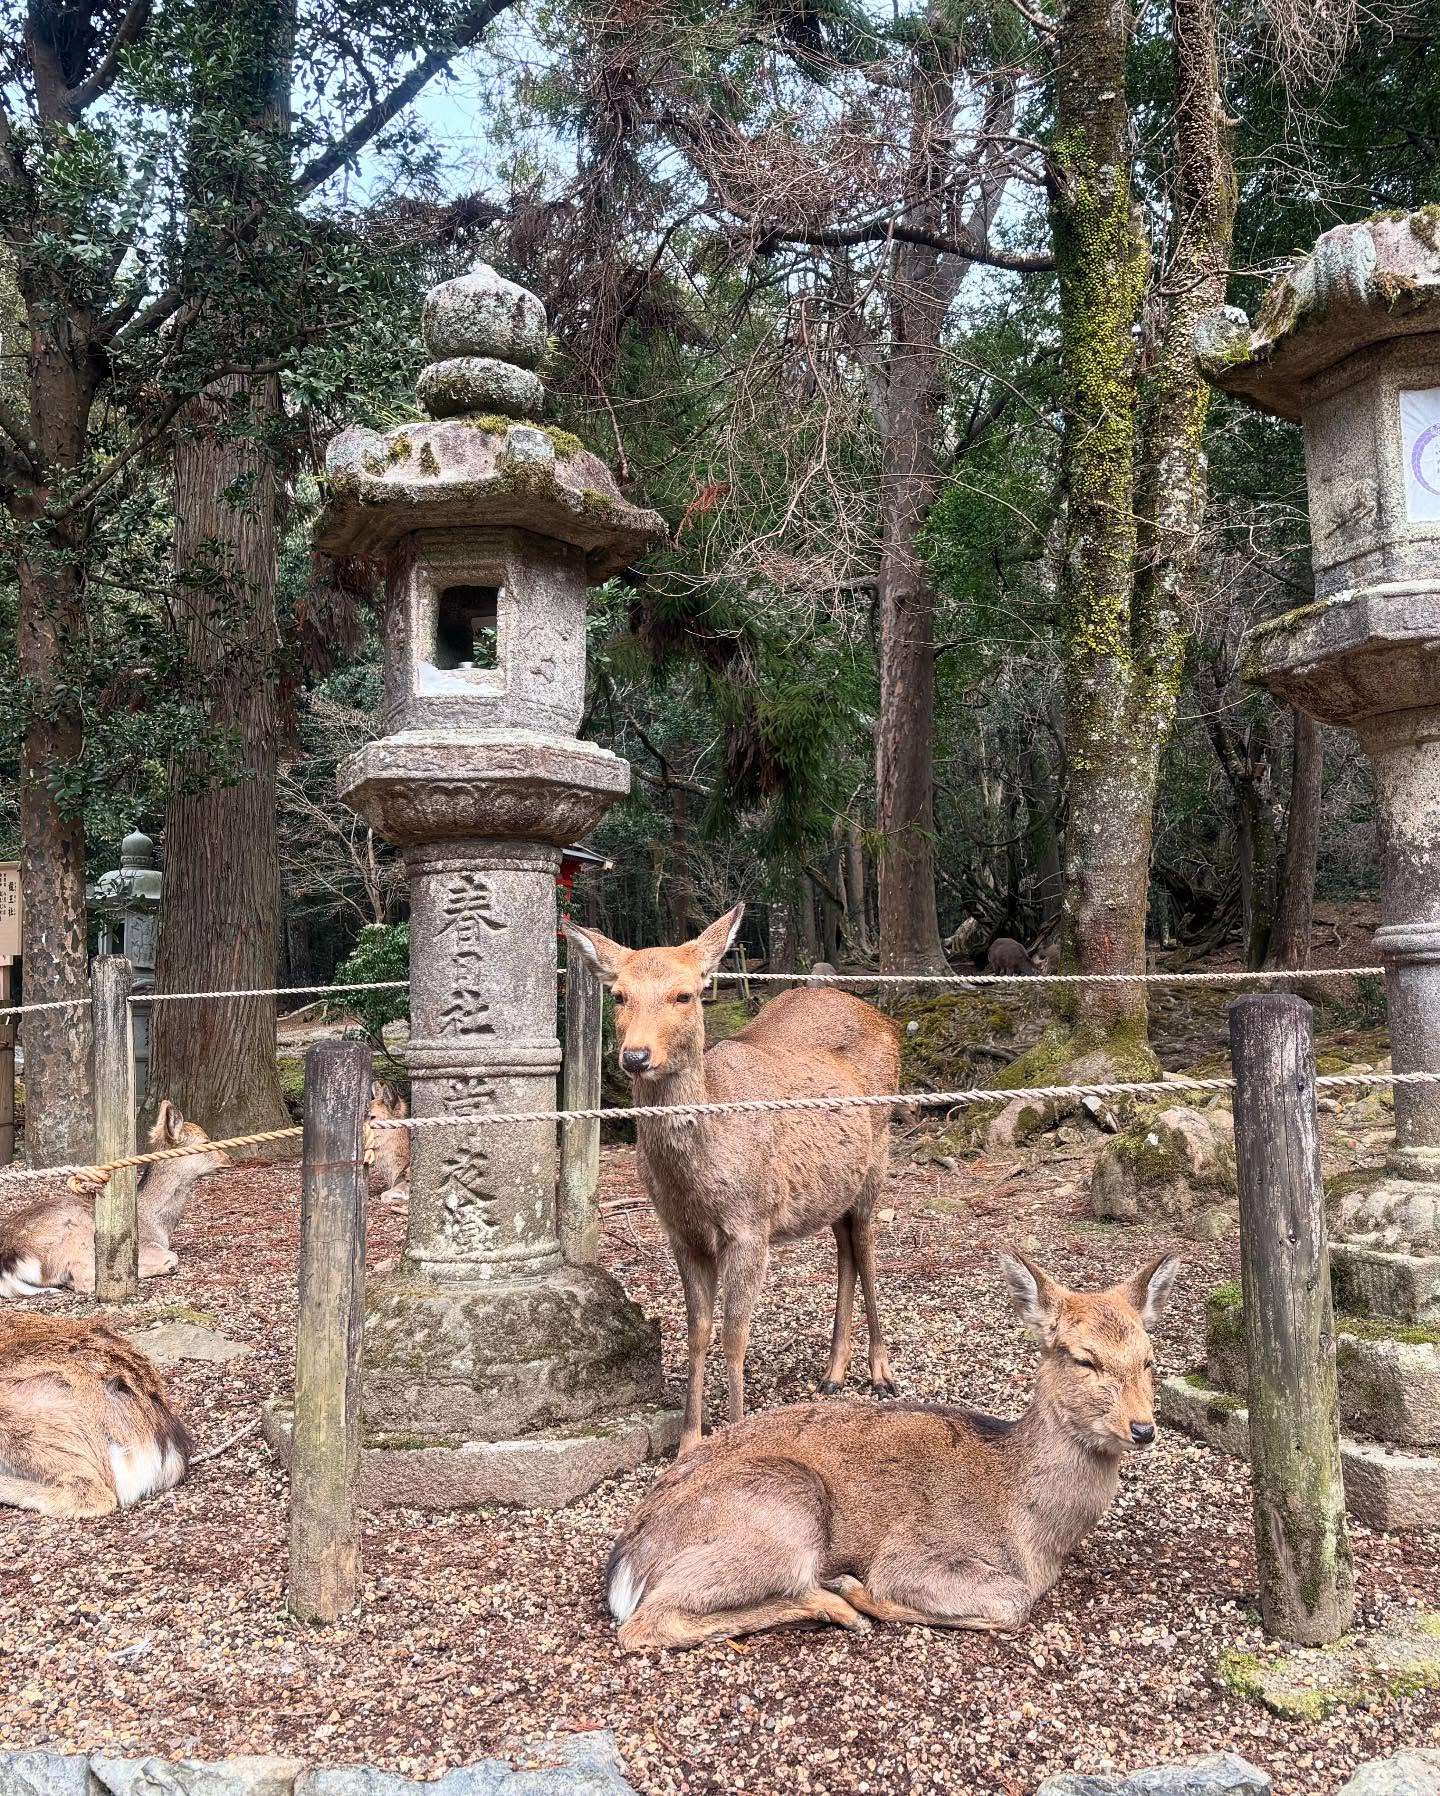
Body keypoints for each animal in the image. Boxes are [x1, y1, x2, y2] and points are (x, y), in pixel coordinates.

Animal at [0, 1099, 227, 1300]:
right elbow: (173, 1256)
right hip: (76, 1237)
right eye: (206, 1142)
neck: (159, 1226)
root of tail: (8, 1263)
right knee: (83, 1280)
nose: (229, 1160)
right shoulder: (145, 1245)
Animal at [563, 905, 890, 1451]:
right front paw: (690, 1441)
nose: (635, 1056)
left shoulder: (750, 1224)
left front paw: (735, 1433)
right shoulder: (680, 1233)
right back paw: (833, 1373)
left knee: (865, 1247)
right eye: (619, 995)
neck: (696, 1181)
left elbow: (736, 1336)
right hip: (834, 1189)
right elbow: (698, 1331)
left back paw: (881, 1372)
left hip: (879, 1159)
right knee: (844, 1243)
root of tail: (883, 1018)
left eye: (685, 994)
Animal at [606, 1250, 1177, 1652]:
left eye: (1149, 1359)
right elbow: (1011, 1602)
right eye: (1084, 1359)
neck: (1033, 1533)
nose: (1143, 1428)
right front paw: (858, 1591)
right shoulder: (911, 1550)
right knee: (647, 1623)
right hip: (785, 1505)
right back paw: (835, 1601)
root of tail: (627, 1562)